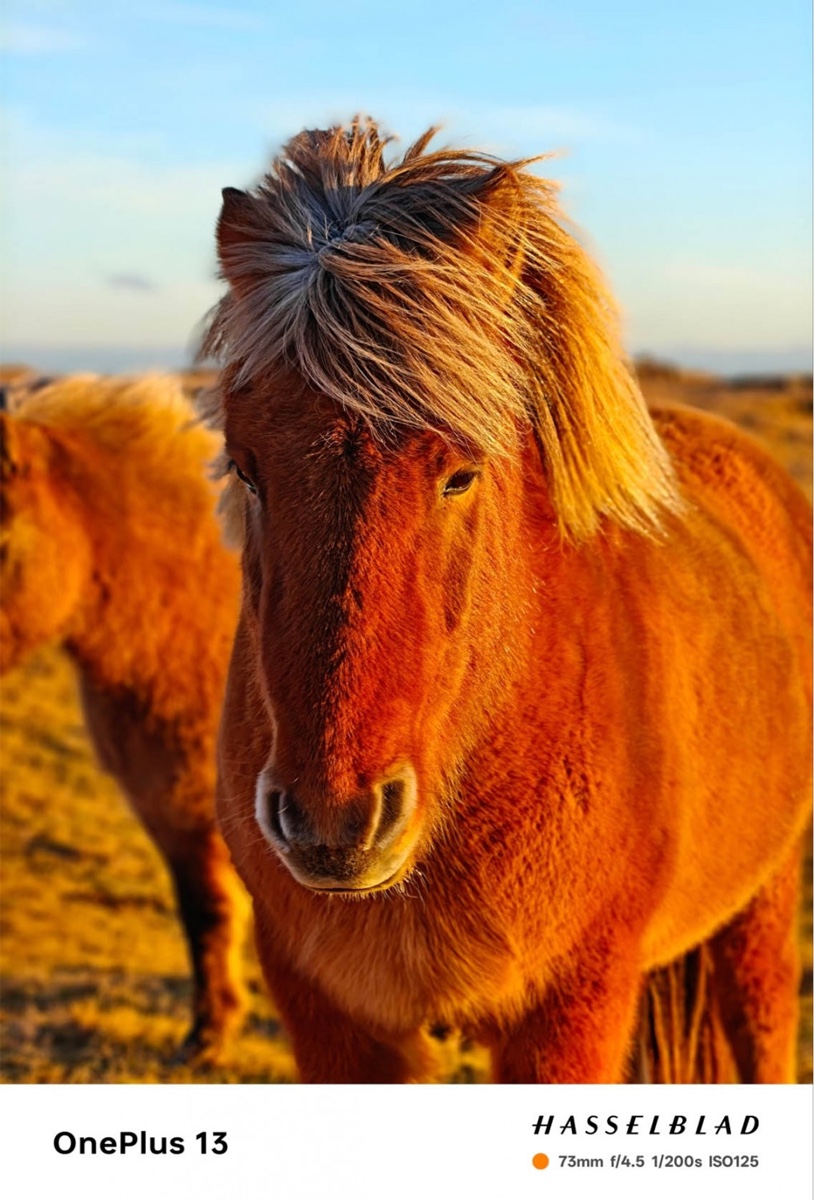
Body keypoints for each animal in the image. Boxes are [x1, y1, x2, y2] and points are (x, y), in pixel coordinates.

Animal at [200, 119, 812, 1083]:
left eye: (460, 473)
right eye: (246, 466)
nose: (333, 824)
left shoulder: (571, 1013)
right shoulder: (333, 1017)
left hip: (764, 905)